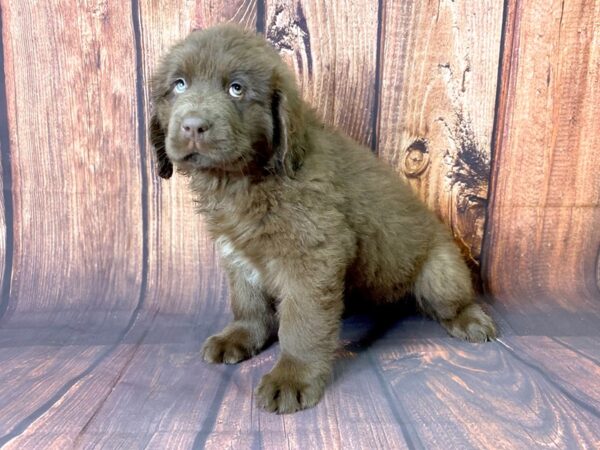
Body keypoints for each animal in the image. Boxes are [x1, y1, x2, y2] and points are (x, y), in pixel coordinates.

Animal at [150, 23, 496, 412]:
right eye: (179, 84)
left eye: (236, 88)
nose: (193, 126)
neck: (243, 179)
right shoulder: (236, 252)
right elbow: (248, 302)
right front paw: (240, 337)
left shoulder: (314, 254)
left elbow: (302, 323)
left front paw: (292, 377)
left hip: (442, 271)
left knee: (452, 299)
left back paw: (470, 320)